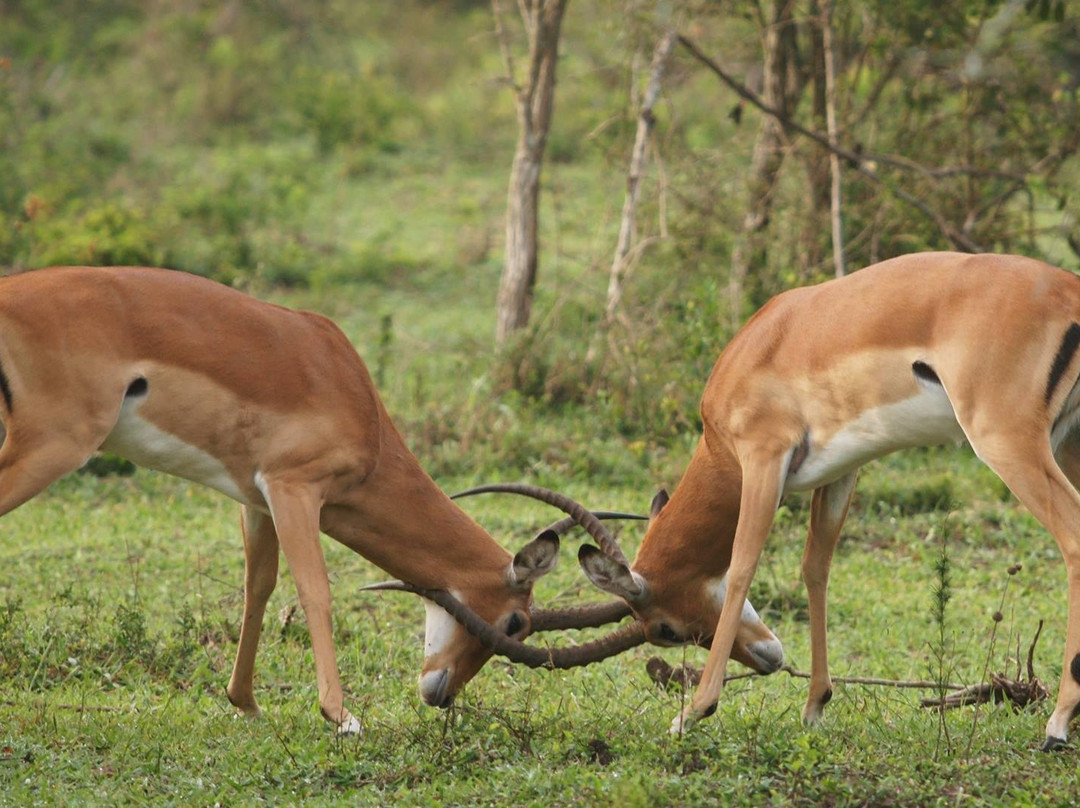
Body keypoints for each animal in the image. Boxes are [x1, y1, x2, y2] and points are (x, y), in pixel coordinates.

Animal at [0, 263, 643, 730]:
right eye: (515, 622)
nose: (440, 695)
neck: (358, 404)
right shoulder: (294, 488)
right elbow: (316, 592)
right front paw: (341, 715)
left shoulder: (255, 498)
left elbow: (258, 588)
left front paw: (245, 702)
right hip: (52, 447)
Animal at [565, 252, 1080, 751]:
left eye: (663, 630)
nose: (768, 658)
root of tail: (1067, 289)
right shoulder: (840, 471)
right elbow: (815, 566)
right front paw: (815, 704)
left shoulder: (763, 459)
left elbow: (742, 566)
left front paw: (692, 713)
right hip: (1067, 446)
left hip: (1007, 443)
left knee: (1072, 538)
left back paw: (1057, 724)